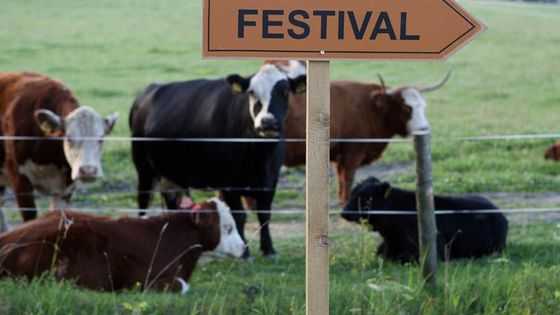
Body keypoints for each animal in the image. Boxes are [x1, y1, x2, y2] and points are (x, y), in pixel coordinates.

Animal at [130, 65, 306, 260]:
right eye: (252, 92)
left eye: (285, 92)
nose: (267, 121)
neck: (260, 155)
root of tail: (148, 91)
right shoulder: (228, 183)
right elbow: (239, 216)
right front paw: (245, 253)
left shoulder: (271, 180)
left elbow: (264, 214)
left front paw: (269, 250)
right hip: (143, 167)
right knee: (143, 201)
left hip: (172, 175)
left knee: (173, 205)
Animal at [342, 178, 508, 264]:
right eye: (352, 193)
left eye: (365, 198)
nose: (344, 212)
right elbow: (379, 253)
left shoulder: (434, 250)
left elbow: (401, 258)